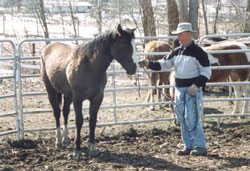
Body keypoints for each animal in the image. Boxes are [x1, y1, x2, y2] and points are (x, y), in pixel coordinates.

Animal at [40, 24, 137, 158]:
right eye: (124, 43)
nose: (134, 68)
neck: (90, 66)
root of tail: (47, 48)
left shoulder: (97, 98)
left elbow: (92, 121)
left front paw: (92, 148)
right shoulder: (77, 98)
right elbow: (79, 121)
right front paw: (77, 150)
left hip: (67, 95)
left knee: (65, 112)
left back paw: (66, 139)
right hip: (51, 91)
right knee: (57, 113)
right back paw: (58, 141)